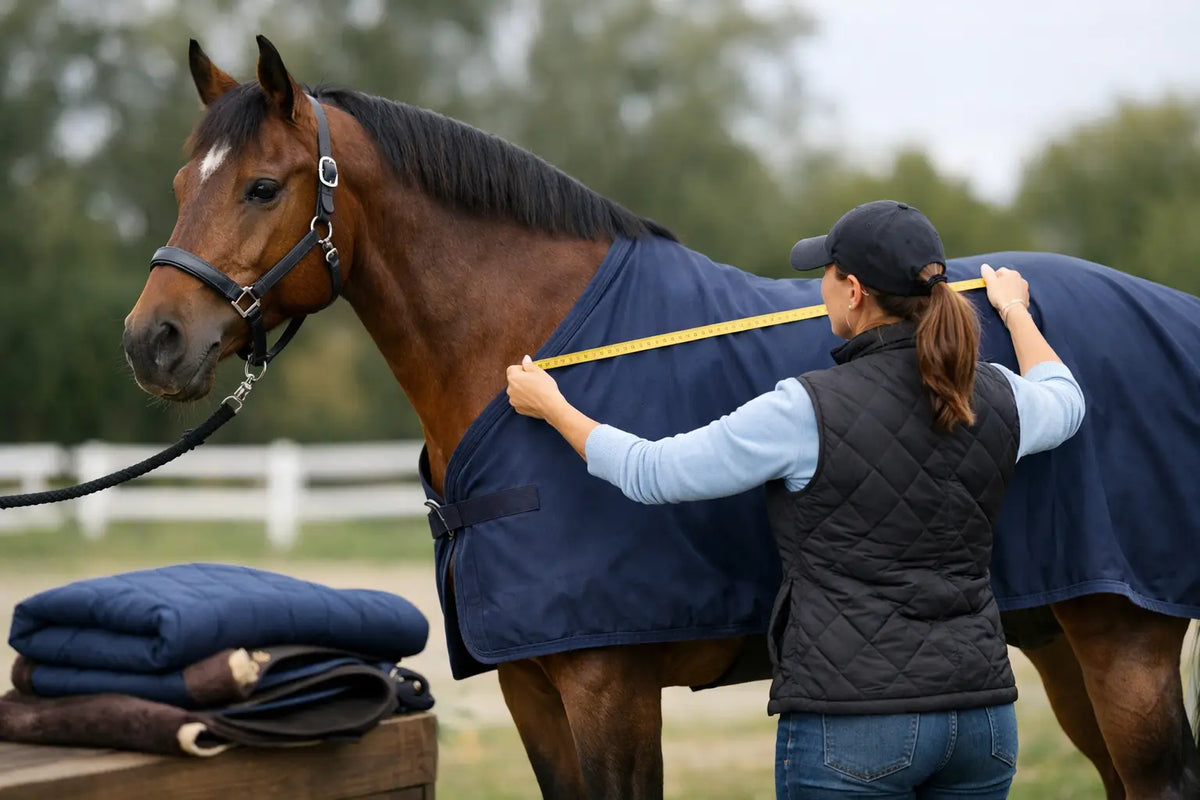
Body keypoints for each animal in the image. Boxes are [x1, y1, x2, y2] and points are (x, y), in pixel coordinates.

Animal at [121, 36, 1200, 799]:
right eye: (177, 183)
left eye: (263, 185)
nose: (152, 340)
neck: (531, 344)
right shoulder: (532, 688)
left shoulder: (611, 686)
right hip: (1056, 638)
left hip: (1125, 645)